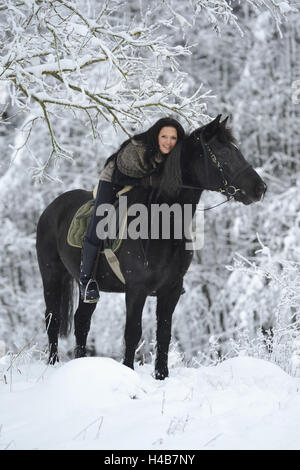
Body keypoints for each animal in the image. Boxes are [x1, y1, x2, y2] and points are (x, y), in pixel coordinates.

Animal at [36, 114, 266, 378]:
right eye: (225, 152)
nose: (260, 188)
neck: (161, 223)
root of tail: (52, 207)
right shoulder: (136, 290)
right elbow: (133, 333)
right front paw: (129, 372)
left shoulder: (171, 290)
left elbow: (164, 333)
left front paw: (161, 376)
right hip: (52, 276)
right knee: (53, 321)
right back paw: (52, 365)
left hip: (87, 289)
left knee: (82, 321)